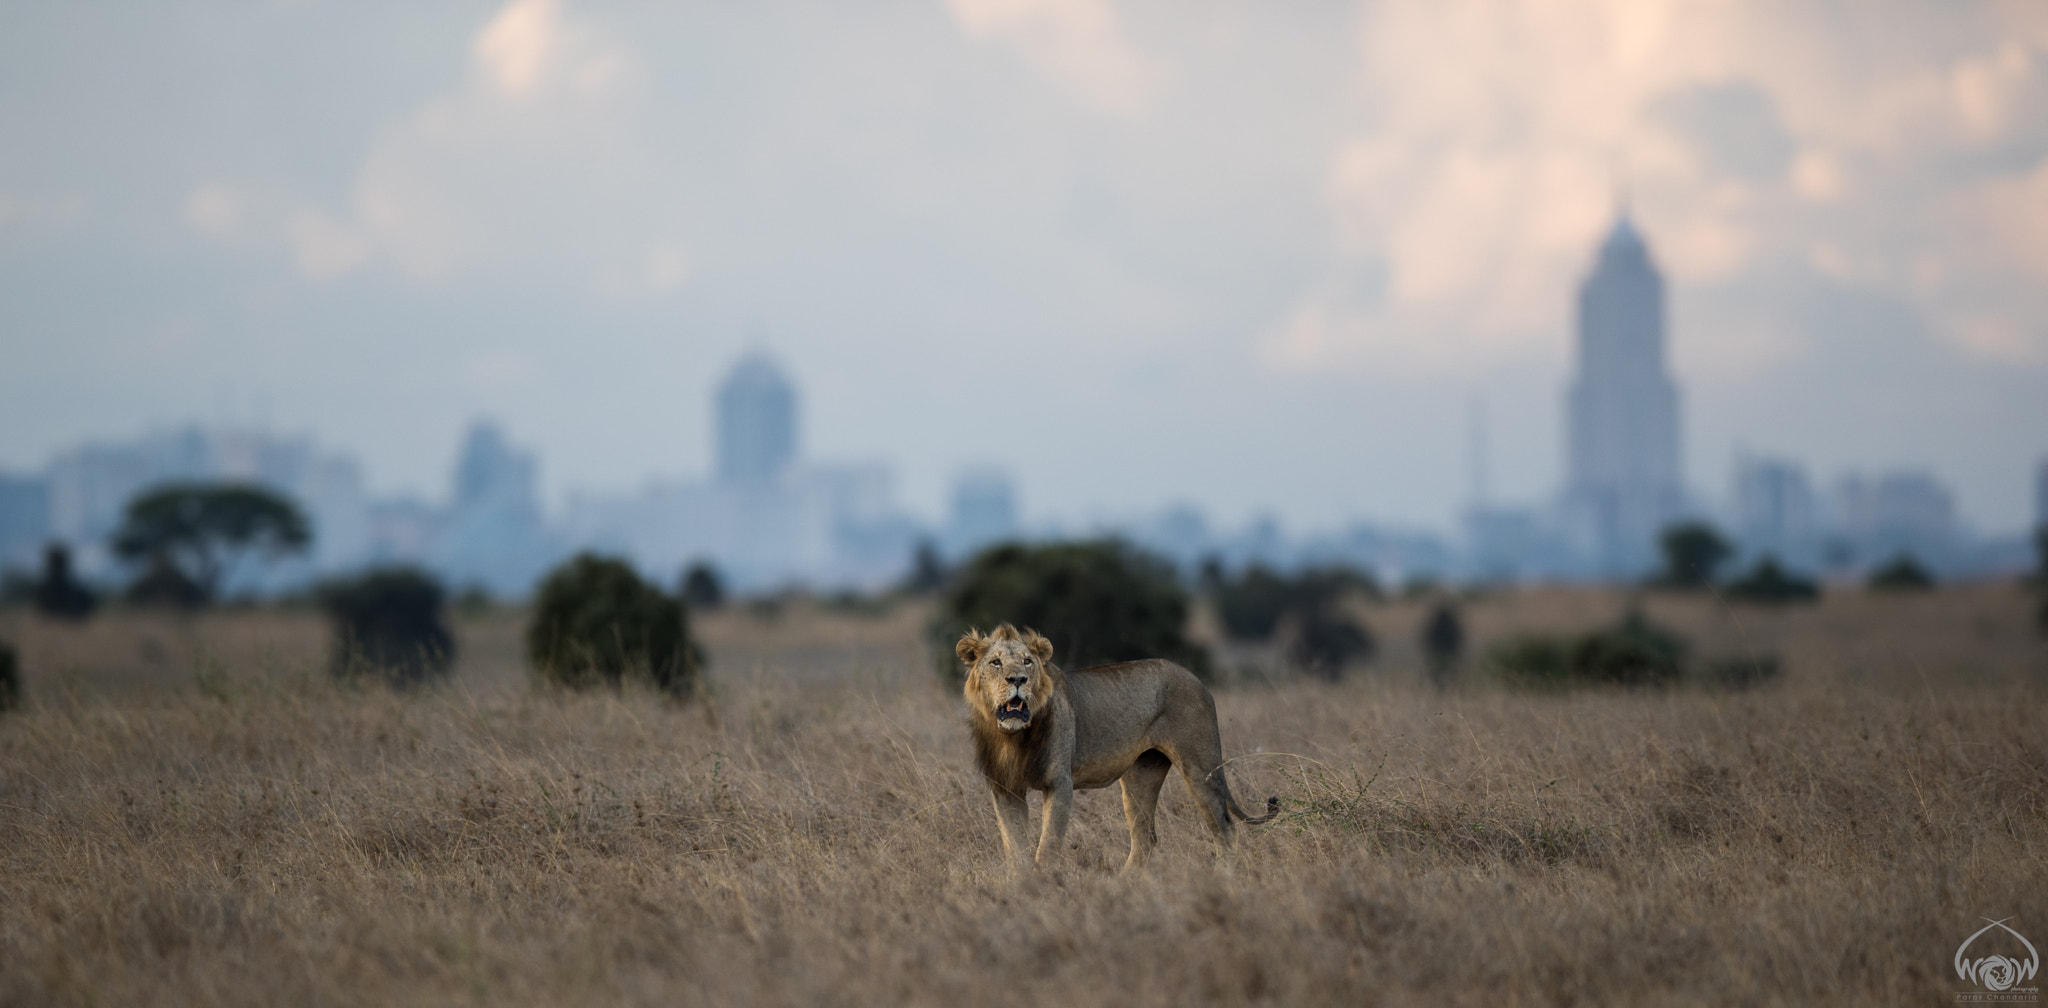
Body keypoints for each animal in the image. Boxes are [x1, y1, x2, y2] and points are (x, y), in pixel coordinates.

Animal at [950, 622, 1269, 864]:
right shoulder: (1005, 788)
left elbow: (1047, 846)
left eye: (1028, 662)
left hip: (1200, 768)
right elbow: (1015, 848)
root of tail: (1197, 679)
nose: (1018, 679)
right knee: (1145, 839)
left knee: (1224, 830)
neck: (1014, 737)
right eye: (996, 662)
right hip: (1142, 774)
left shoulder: (1059, 783)